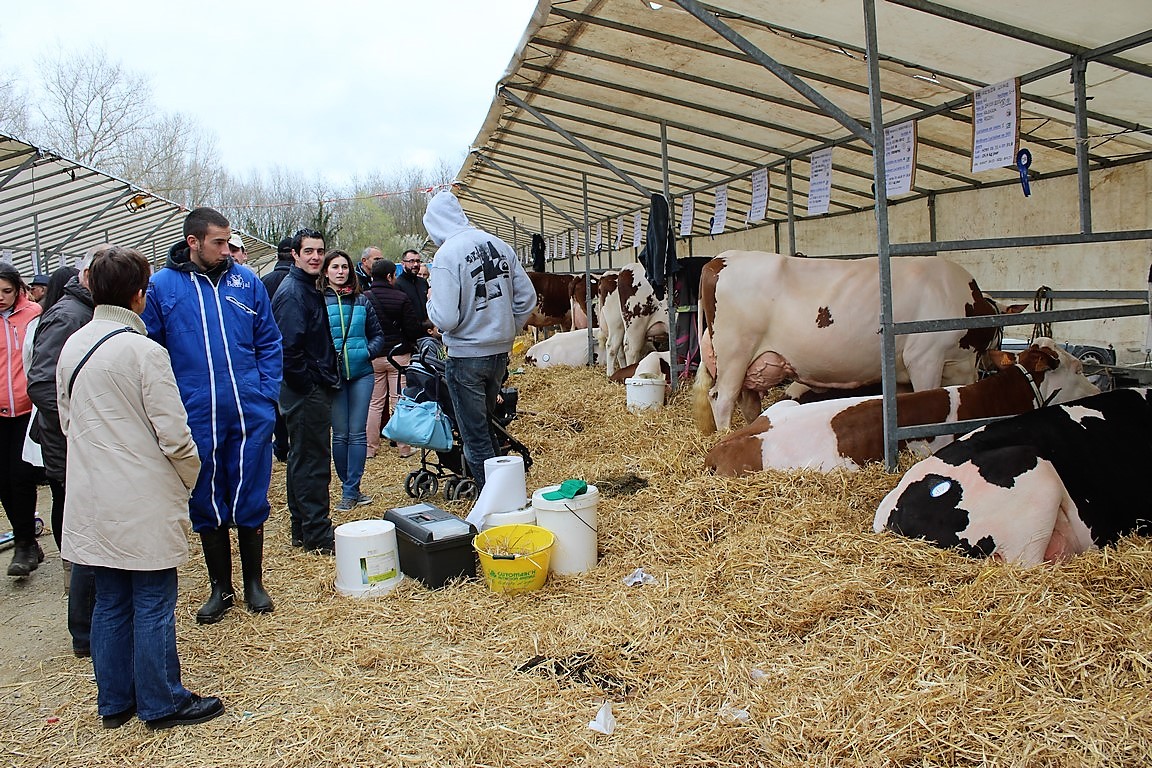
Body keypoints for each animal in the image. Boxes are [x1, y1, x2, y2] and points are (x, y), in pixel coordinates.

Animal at [691, 251, 999, 432]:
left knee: (747, 402)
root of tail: (720, 258)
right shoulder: (924, 357)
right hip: (734, 354)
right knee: (722, 399)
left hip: (751, 364)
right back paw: (726, 436)